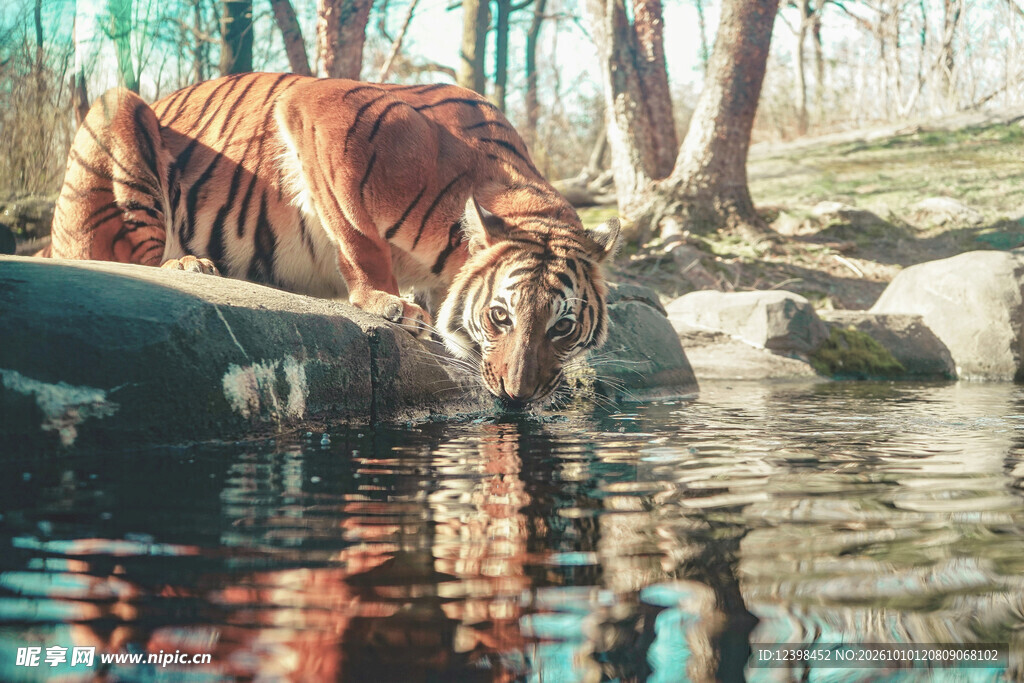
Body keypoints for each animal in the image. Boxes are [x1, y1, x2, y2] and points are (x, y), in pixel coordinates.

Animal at [45, 72, 621, 407]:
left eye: (563, 327)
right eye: (501, 316)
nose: (519, 397)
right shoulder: (317, 109)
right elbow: (356, 234)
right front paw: (389, 302)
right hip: (118, 111)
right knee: (127, 254)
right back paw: (187, 265)